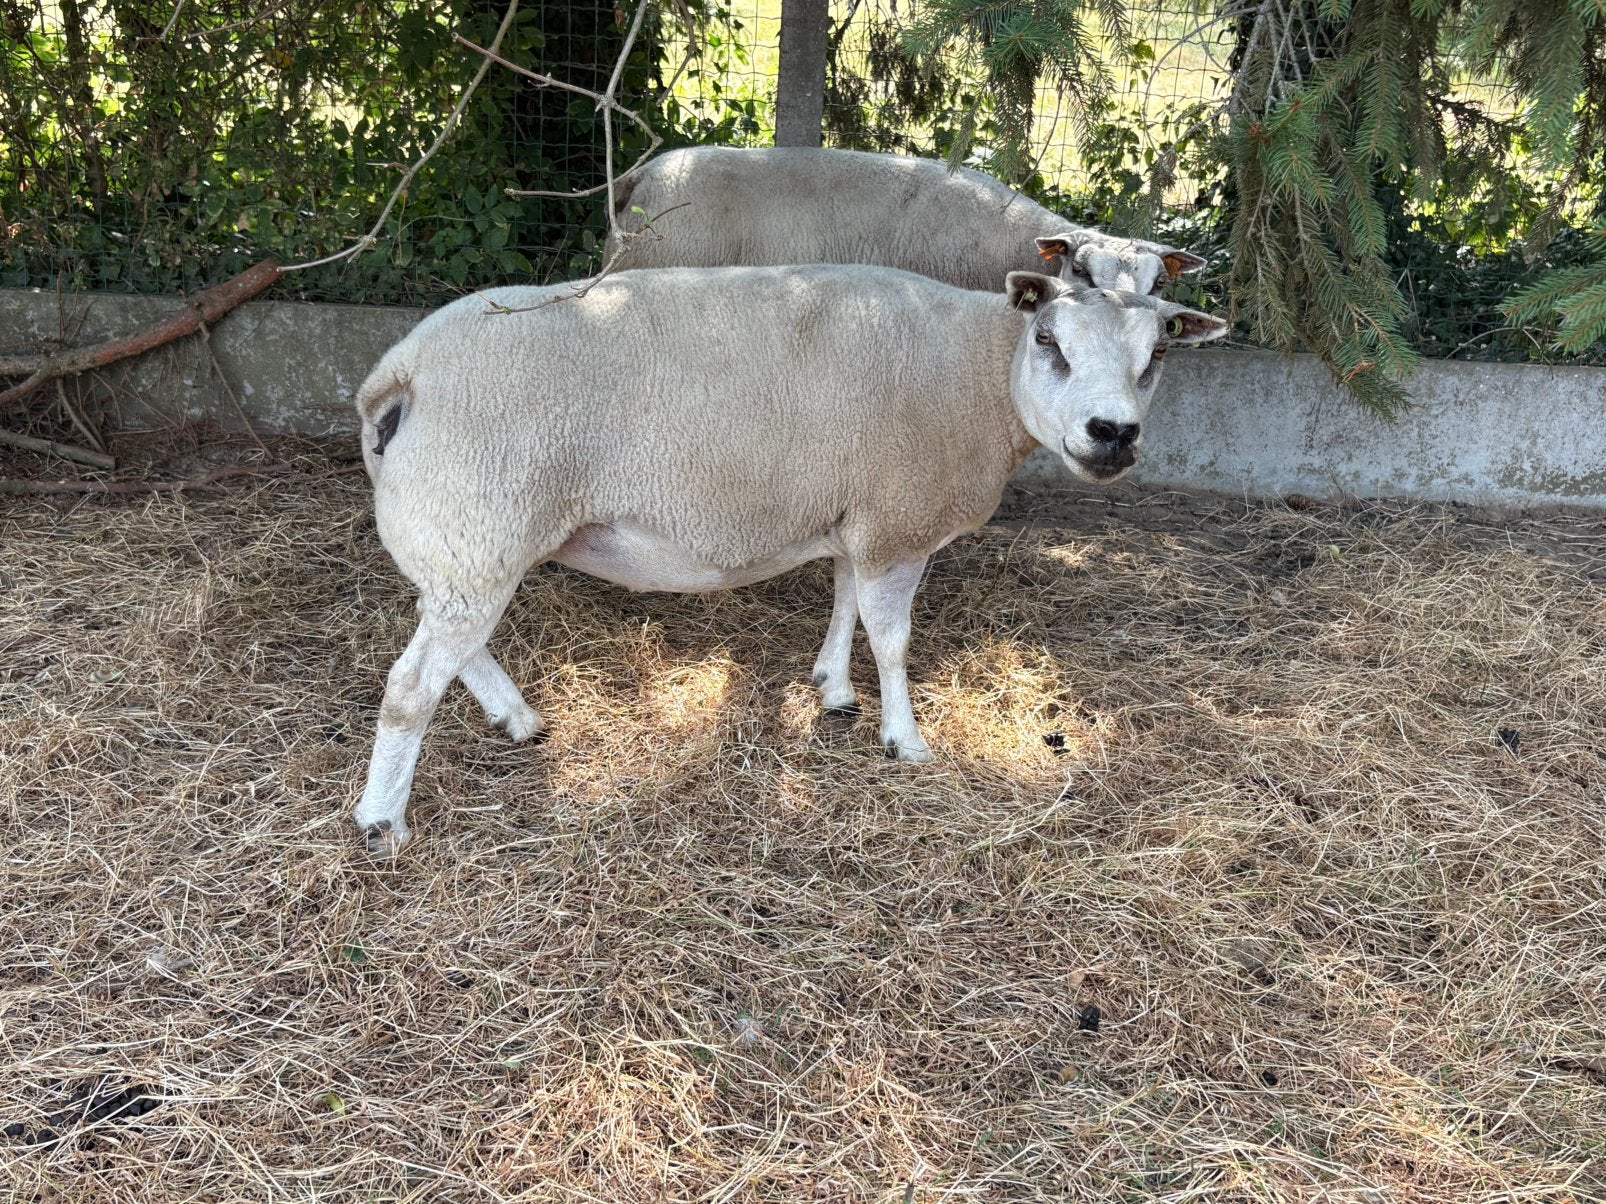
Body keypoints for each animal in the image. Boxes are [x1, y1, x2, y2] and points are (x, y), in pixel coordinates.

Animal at [350, 265, 1227, 852]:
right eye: (1049, 340)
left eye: (1155, 358)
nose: (1114, 434)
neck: (980, 373)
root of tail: (399, 369)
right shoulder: (898, 521)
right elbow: (893, 638)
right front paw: (904, 738)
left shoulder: (857, 515)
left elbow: (844, 604)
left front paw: (834, 689)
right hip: (481, 524)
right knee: (409, 687)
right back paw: (382, 818)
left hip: (464, 541)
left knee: (450, 644)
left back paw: (516, 717)